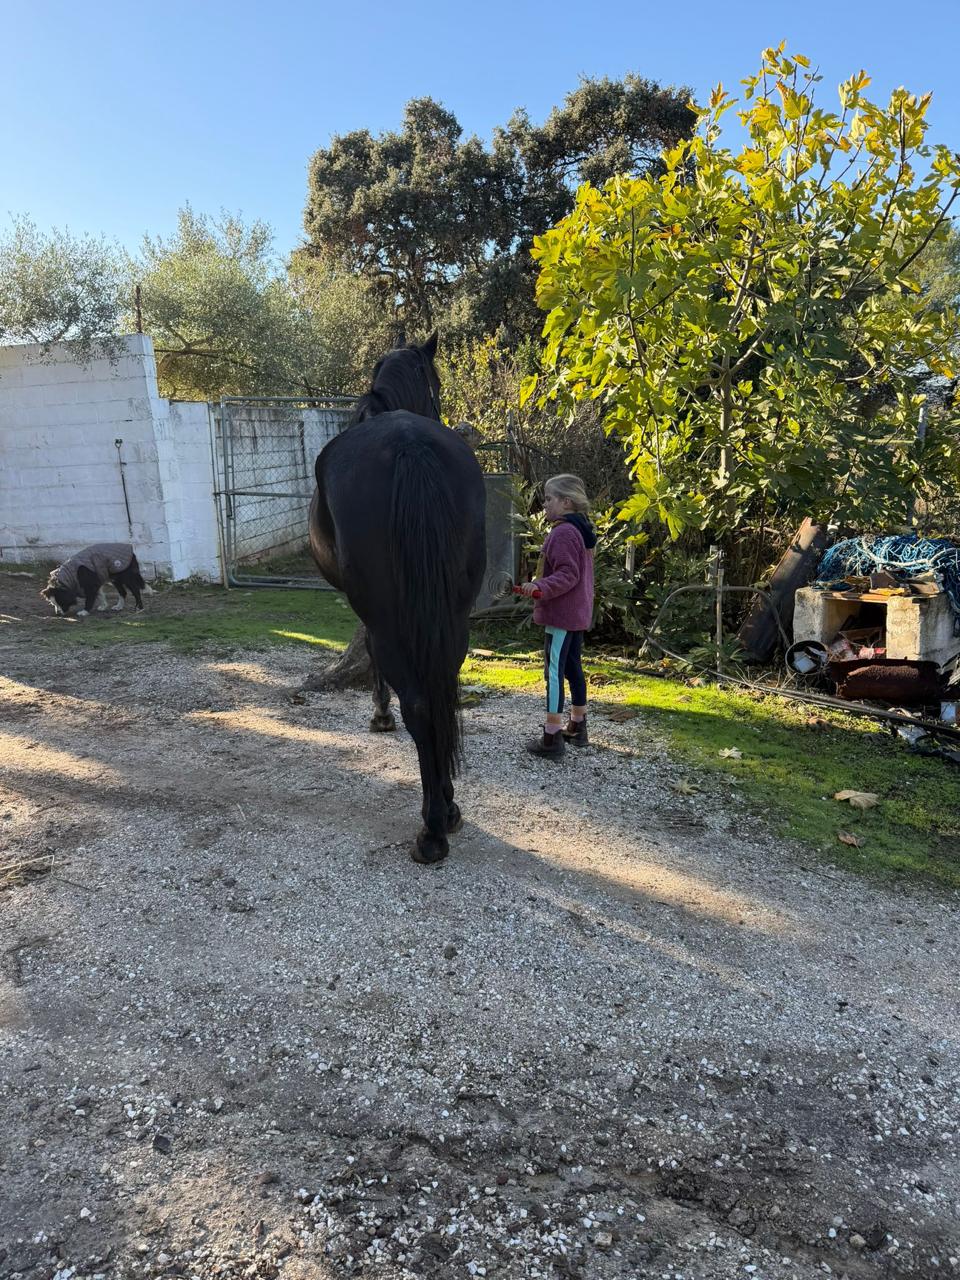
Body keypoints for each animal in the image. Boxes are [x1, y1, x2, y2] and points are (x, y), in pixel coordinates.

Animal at [308, 334, 487, 864]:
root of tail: (409, 445)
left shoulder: (369, 612)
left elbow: (368, 651)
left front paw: (379, 714)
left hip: (391, 616)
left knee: (421, 704)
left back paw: (432, 828)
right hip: (455, 614)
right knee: (442, 691)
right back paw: (448, 807)